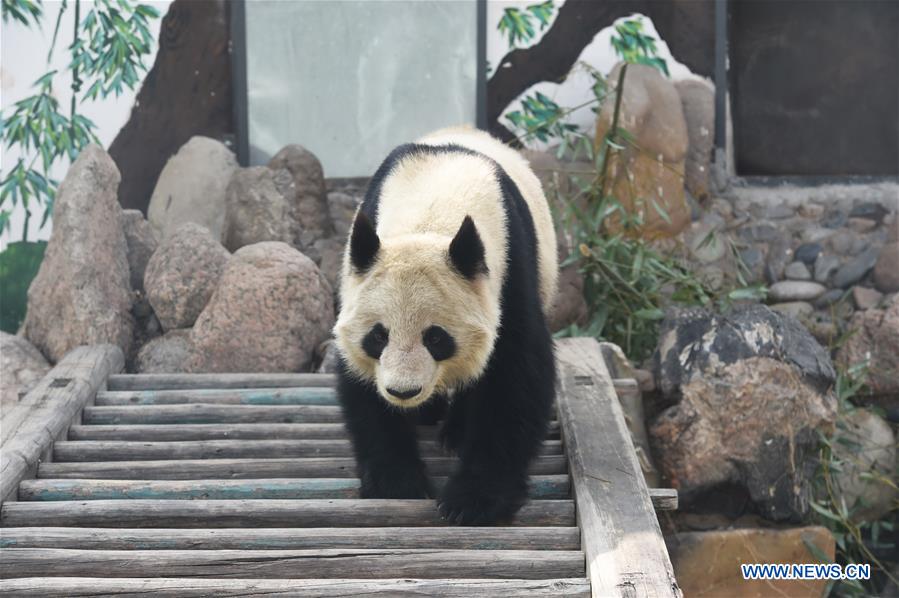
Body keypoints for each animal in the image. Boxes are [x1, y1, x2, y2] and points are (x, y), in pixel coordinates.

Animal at [334, 126, 558, 525]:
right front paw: (397, 482)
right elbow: (361, 385)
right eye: (378, 336)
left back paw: (454, 432)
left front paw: (472, 501)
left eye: (436, 338)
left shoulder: (511, 271)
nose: (403, 391)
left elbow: (515, 376)